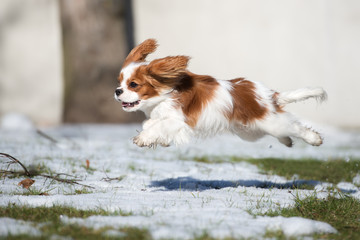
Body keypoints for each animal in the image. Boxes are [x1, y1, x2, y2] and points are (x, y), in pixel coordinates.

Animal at [114, 39, 328, 148]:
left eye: (133, 84)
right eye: (119, 82)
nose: (117, 91)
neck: (164, 95)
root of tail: (268, 95)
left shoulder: (179, 120)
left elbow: (160, 125)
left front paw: (144, 138)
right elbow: (149, 123)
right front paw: (156, 138)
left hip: (271, 123)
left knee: (295, 127)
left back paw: (313, 139)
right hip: (249, 131)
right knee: (284, 131)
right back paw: (287, 141)